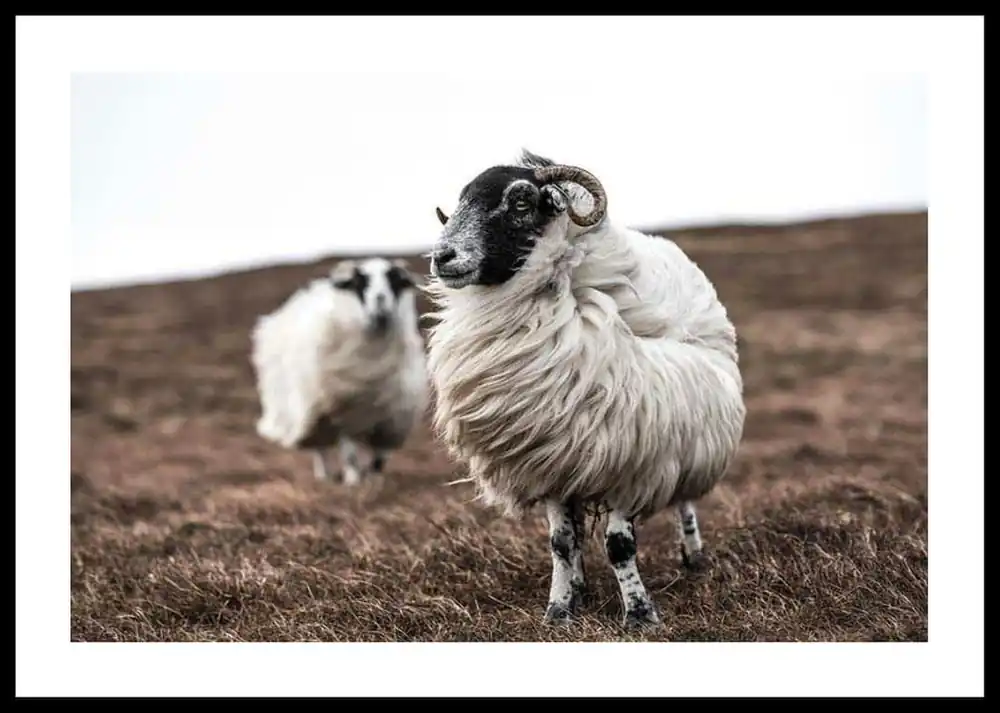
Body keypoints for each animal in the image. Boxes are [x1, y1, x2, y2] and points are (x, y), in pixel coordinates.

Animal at [252, 256, 428, 485]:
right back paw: (325, 477)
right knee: (321, 449)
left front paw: (374, 481)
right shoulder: (343, 413)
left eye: (394, 281)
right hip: (313, 412)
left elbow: (379, 458)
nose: (380, 300)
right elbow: (349, 453)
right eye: (361, 283)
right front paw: (353, 481)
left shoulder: (391, 418)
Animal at [422, 150, 747, 629]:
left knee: (685, 501)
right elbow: (561, 542)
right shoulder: (553, 457)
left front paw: (640, 615)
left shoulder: (631, 458)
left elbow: (619, 545)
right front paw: (559, 610)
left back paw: (693, 557)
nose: (442, 256)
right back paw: (581, 587)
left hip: (685, 436)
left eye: (521, 202)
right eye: (461, 201)